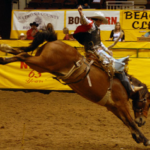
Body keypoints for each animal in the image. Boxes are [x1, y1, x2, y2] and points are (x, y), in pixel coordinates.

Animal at [0, 39, 150, 146]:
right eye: (148, 103)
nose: (143, 121)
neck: (126, 84)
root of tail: (53, 42)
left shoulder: (113, 107)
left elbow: (126, 122)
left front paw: (137, 137)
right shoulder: (121, 104)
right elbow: (130, 121)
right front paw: (145, 139)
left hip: (40, 64)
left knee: (21, 54)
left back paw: (4, 52)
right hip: (43, 63)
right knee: (23, 55)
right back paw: (4, 54)